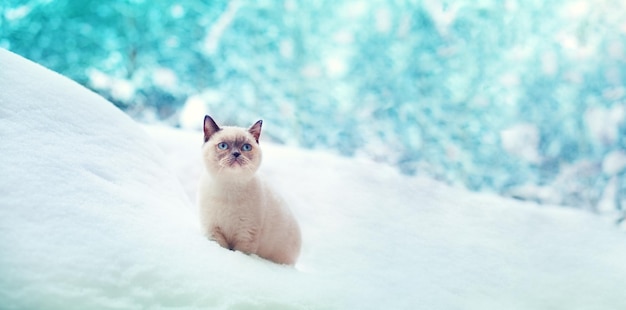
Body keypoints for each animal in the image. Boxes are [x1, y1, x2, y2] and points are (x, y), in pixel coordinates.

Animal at [196, 115, 302, 266]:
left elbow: (240, 253)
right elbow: (221, 248)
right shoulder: (213, 232)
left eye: (246, 147)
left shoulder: (245, 234)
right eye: (223, 146)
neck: (229, 188)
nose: (236, 154)